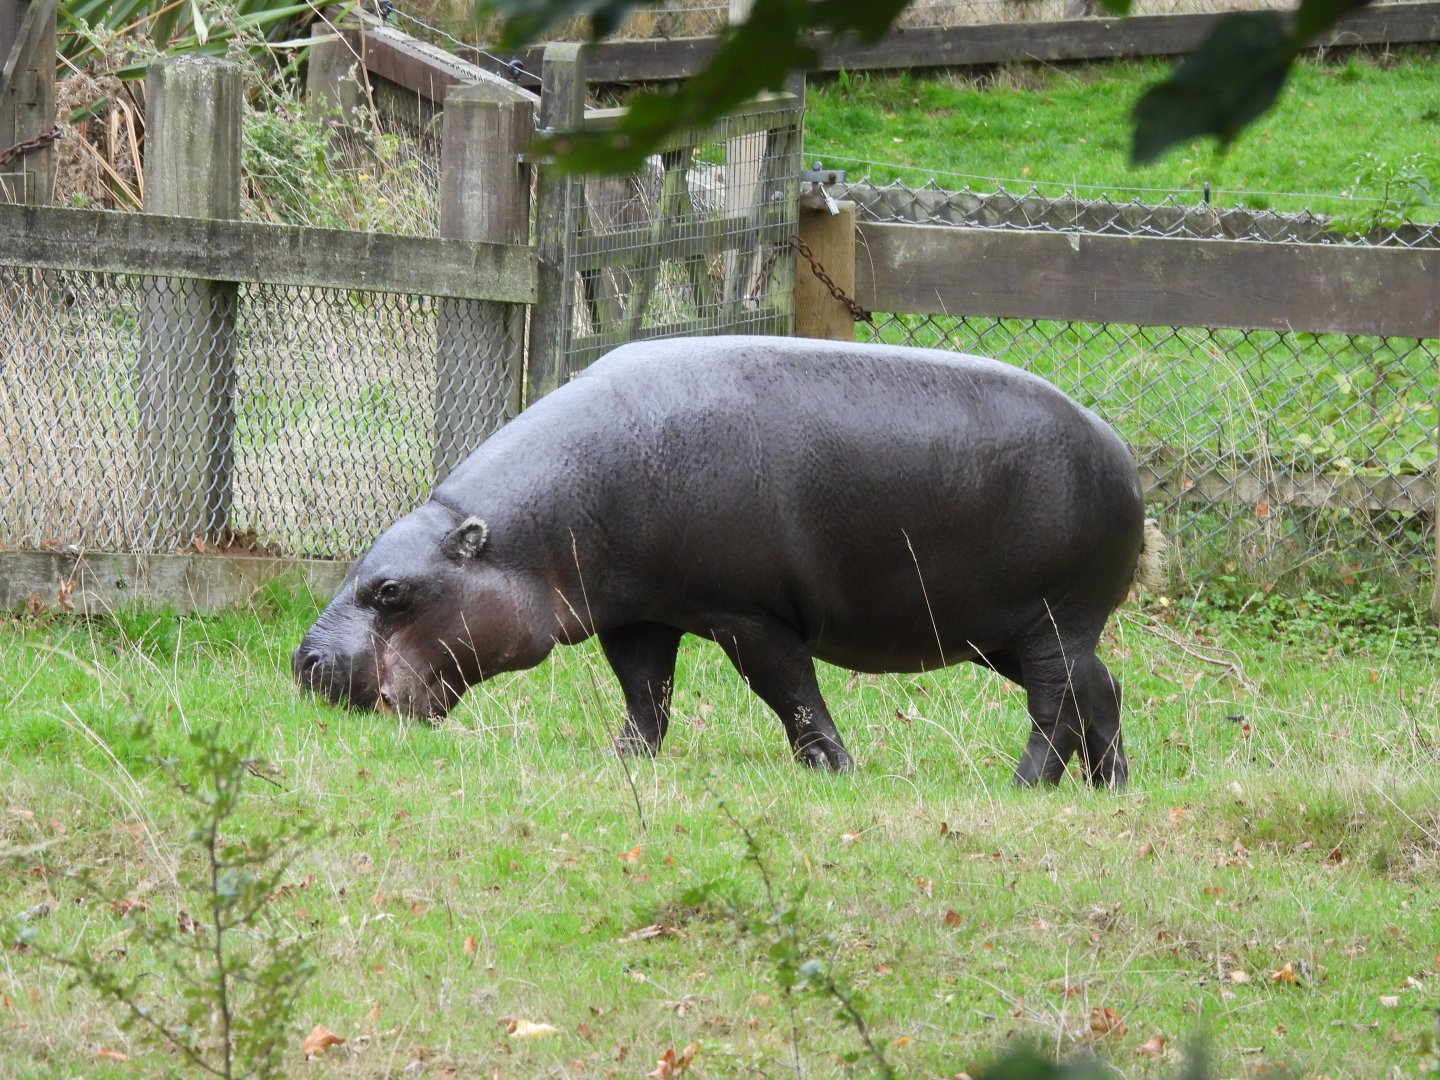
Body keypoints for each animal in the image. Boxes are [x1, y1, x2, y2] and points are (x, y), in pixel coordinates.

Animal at [294, 336, 1163, 786]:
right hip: (1012, 632)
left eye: (392, 590)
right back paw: (1110, 788)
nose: (305, 662)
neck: (518, 541)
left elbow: (791, 693)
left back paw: (1020, 787)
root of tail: (1123, 452)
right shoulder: (639, 613)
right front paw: (625, 761)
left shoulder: (748, 614)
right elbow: (647, 692)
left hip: (1052, 620)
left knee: (1056, 707)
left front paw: (831, 772)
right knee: (1102, 690)